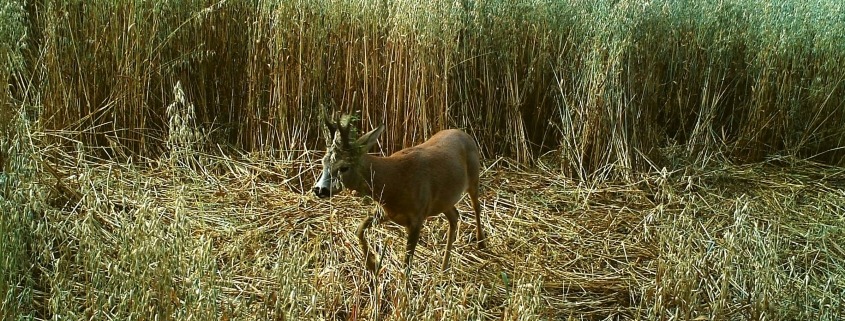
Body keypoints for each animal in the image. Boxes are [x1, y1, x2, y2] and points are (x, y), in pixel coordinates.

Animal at [314, 110, 484, 272]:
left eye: (344, 167)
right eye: (323, 162)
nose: (319, 189)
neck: (393, 181)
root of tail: (465, 134)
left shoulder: (417, 217)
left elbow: (406, 265)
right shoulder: (387, 212)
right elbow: (359, 229)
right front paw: (372, 265)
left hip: (474, 177)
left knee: (477, 206)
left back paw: (481, 242)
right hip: (443, 200)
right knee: (454, 216)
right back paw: (444, 269)